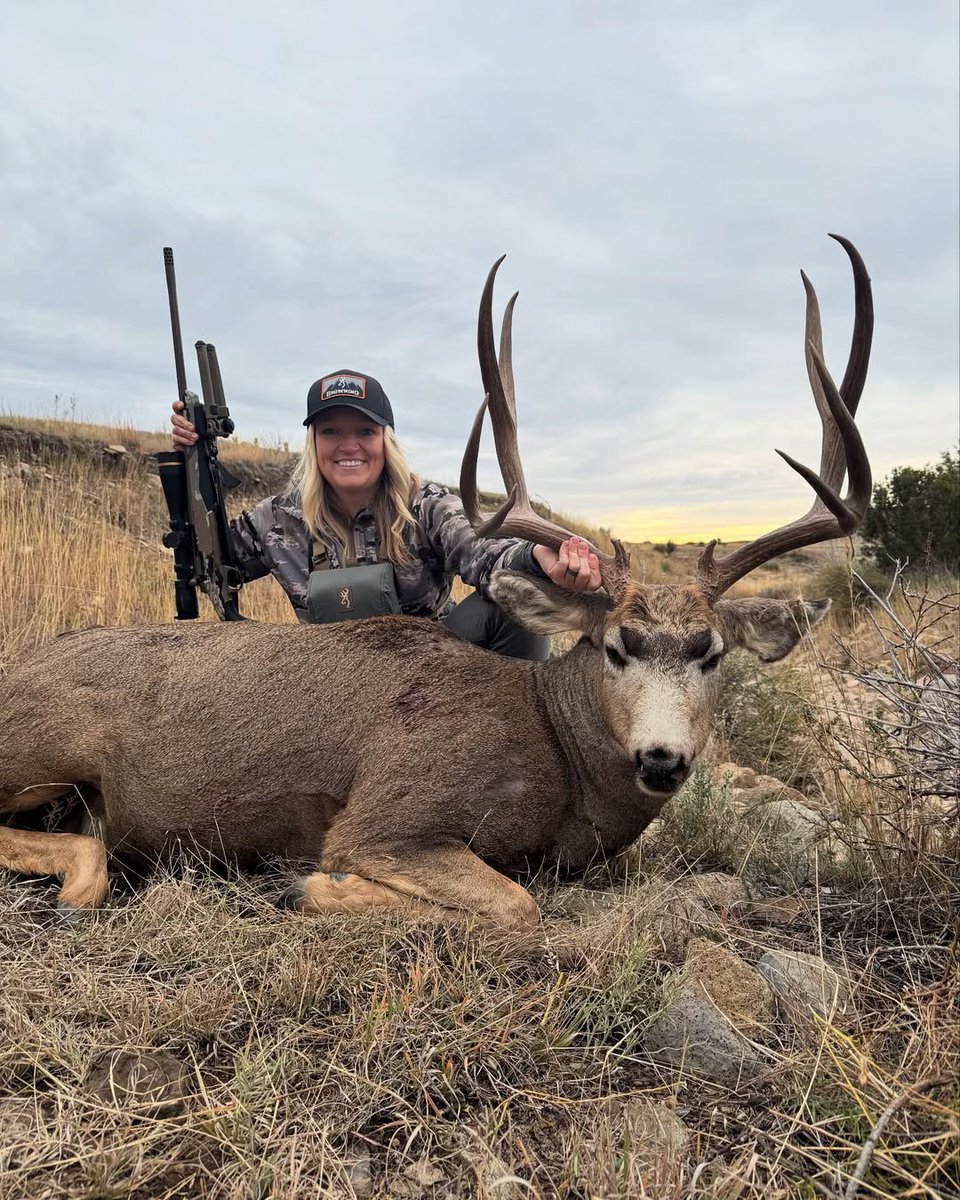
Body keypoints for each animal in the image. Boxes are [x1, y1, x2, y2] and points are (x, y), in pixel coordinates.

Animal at [0, 235, 873, 929]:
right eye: (615, 646)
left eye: (712, 653)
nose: (662, 759)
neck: (553, 754)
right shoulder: (390, 811)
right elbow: (514, 903)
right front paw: (303, 887)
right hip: (45, 742)